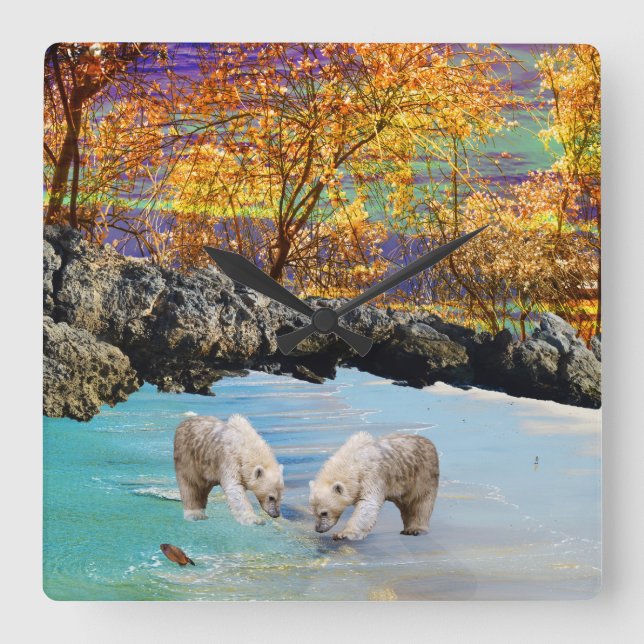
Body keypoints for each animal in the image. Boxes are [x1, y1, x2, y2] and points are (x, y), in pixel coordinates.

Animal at [309, 431, 439, 541]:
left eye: (324, 512)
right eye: (313, 512)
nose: (318, 529)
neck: (352, 460)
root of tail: (428, 441)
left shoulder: (371, 475)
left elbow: (367, 504)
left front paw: (343, 534)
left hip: (422, 475)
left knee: (419, 502)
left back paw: (415, 529)